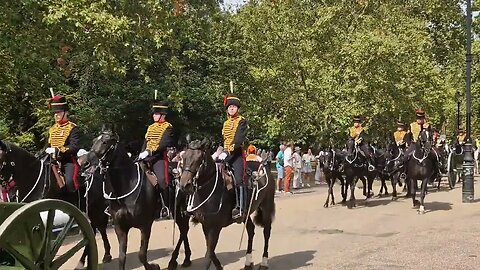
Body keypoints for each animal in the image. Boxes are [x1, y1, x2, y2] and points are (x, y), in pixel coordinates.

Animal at [0, 139, 111, 268]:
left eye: (0, 157)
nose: (6, 190)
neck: (33, 176)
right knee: (93, 229)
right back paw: (85, 259)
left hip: (96, 208)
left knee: (99, 228)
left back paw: (105, 255)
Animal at [179, 139, 278, 270]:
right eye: (184, 157)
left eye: (199, 158)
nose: (184, 185)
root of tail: (264, 166)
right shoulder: (206, 225)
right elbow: (211, 251)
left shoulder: (215, 227)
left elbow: (208, 255)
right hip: (245, 213)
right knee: (251, 230)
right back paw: (248, 262)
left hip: (266, 206)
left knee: (267, 232)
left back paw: (264, 263)